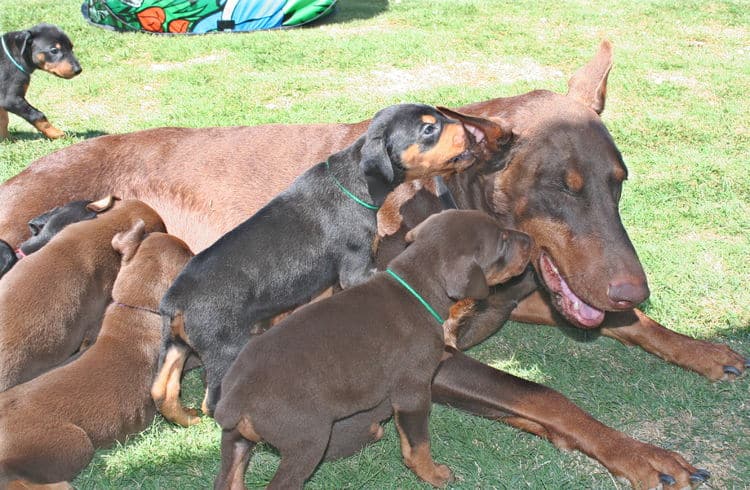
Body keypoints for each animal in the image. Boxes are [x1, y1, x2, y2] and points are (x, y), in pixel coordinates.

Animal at [151, 102, 506, 424]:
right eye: (429, 129)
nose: (473, 133)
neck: (357, 180)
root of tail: (176, 301)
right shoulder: (356, 268)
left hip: (174, 346)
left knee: (162, 390)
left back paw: (187, 418)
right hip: (225, 348)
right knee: (211, 402)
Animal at [213, 209, 536, 488]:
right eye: (502, 241)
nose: (530, 240)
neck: (416, 287)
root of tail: (235, 397)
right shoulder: (413, 391)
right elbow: (418, 443)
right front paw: (433, 474)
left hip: (234, 441)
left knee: (228, 477)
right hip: (307, 441)